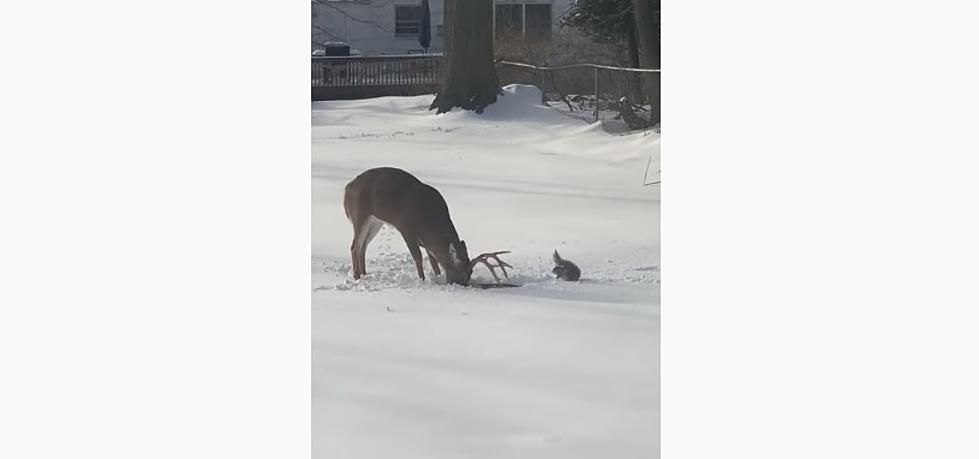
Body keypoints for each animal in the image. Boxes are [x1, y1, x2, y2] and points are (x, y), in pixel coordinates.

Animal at [342, 167, 512, 286]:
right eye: (461, 272)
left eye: (471, 272)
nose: (462, 284)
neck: (429, 219)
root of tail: (347, 188)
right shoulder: (406, 228)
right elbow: (417, 256)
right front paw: (422, 279)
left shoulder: (426, 240)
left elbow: (432, 259)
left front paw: (436, 276)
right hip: (360, 215)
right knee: (355, 246)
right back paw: (357, 275)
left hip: (376, 221)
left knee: (362, 246)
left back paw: (364, 274)